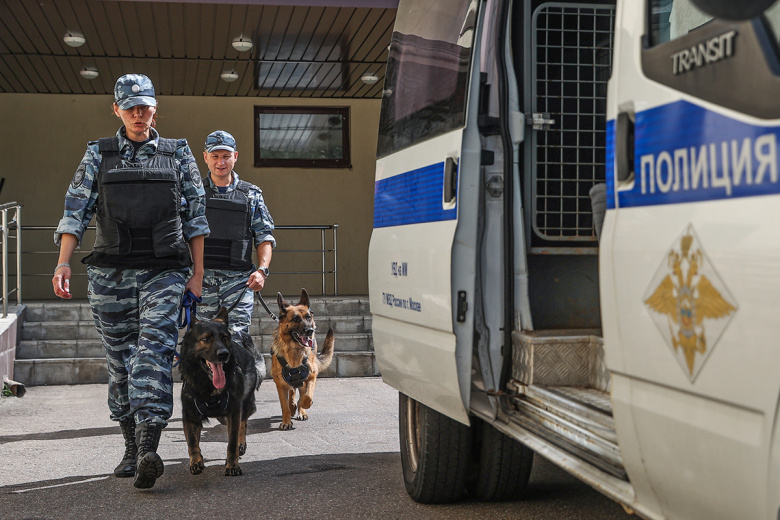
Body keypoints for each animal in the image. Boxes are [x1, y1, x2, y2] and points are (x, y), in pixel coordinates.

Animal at [179, 306, 260, 476]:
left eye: (224, 338)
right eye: (206, 339)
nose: (224, 354)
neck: (208, 387)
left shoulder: (234, 412)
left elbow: (232, 442)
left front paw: (232, 465)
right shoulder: (190, 417)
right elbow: (192, 444)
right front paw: (196, 461)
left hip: (244, 404)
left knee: (243, 423)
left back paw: (241, 445)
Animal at [271, 289, 335, 430]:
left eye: (308, 317)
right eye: (295, 319)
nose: (310, 331)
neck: (294, 350)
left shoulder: (311, 376)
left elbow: (307, 396)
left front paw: (303, 405)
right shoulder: (280, 384)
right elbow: (284, 405)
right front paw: (286, 421)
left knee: (300, 390)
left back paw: (301, 411)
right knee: (292, 392)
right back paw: (293, 406)